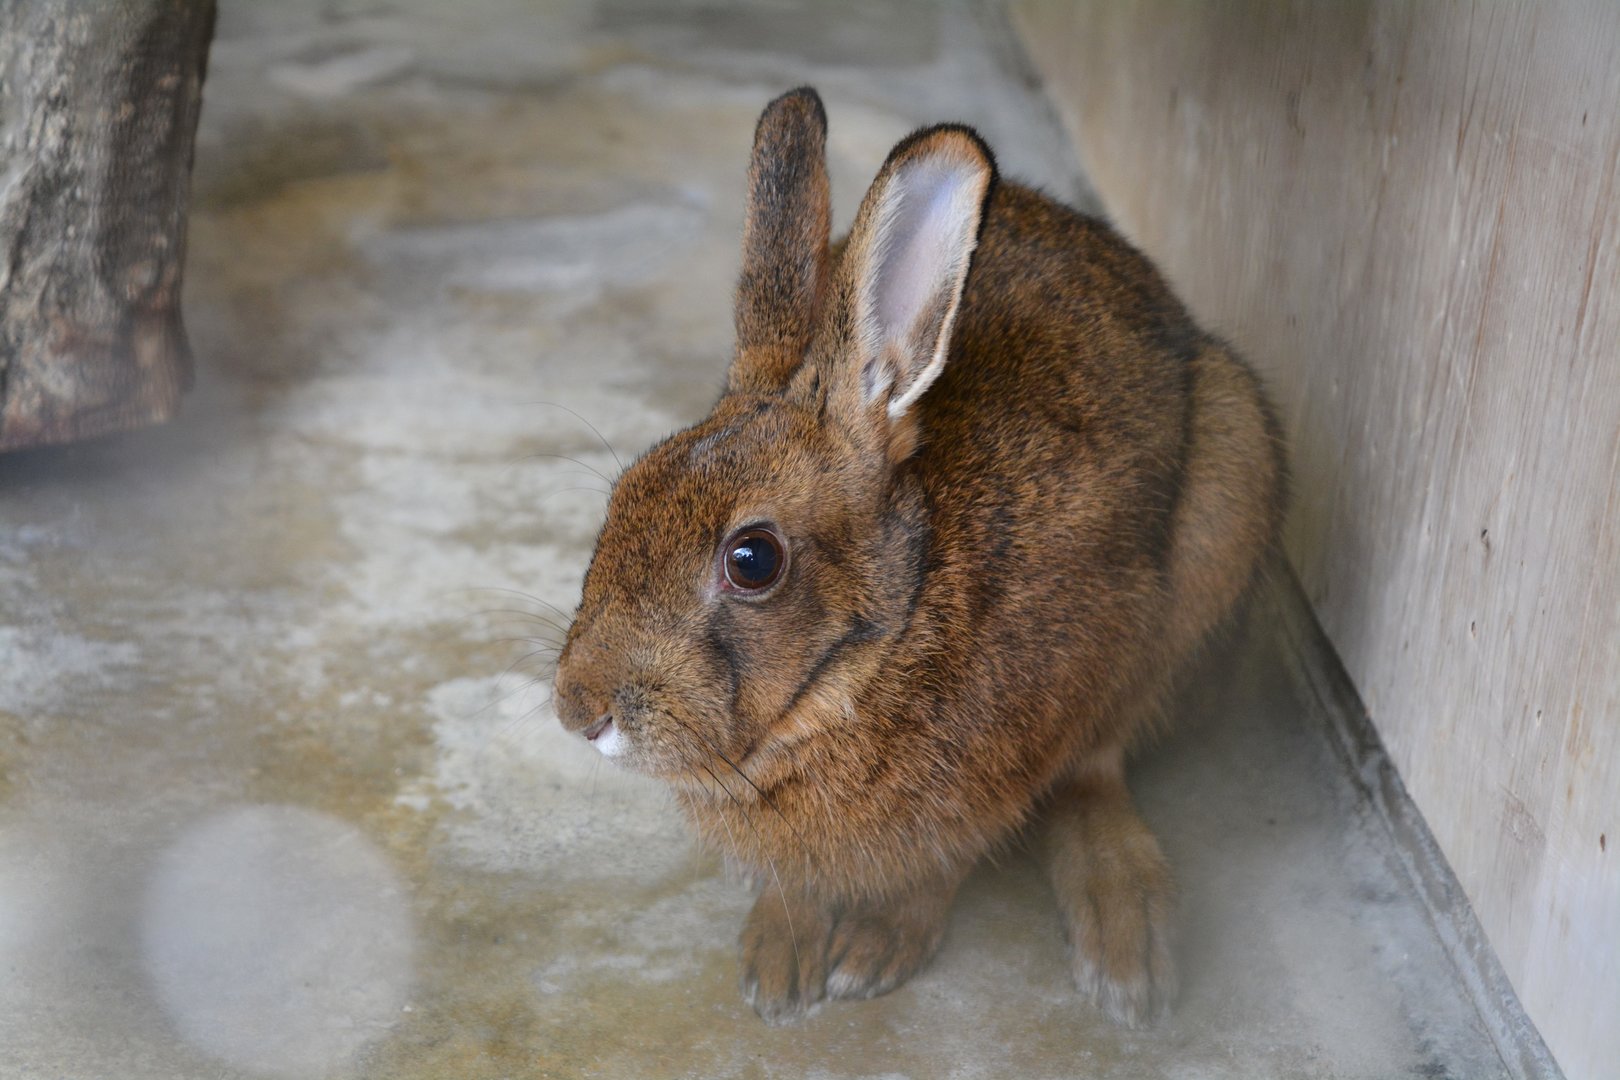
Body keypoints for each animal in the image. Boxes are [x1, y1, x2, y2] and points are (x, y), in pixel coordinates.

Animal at [552, 87, 1287, 1027]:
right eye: (623, 498)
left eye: (752, 559)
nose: (579, 710)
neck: (881, 646)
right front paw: (781, 958)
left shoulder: (1033, 732)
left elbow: (956, 852)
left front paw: (872, 949)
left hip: (1227, 489)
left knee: (1099, 769)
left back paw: (1126, 942)